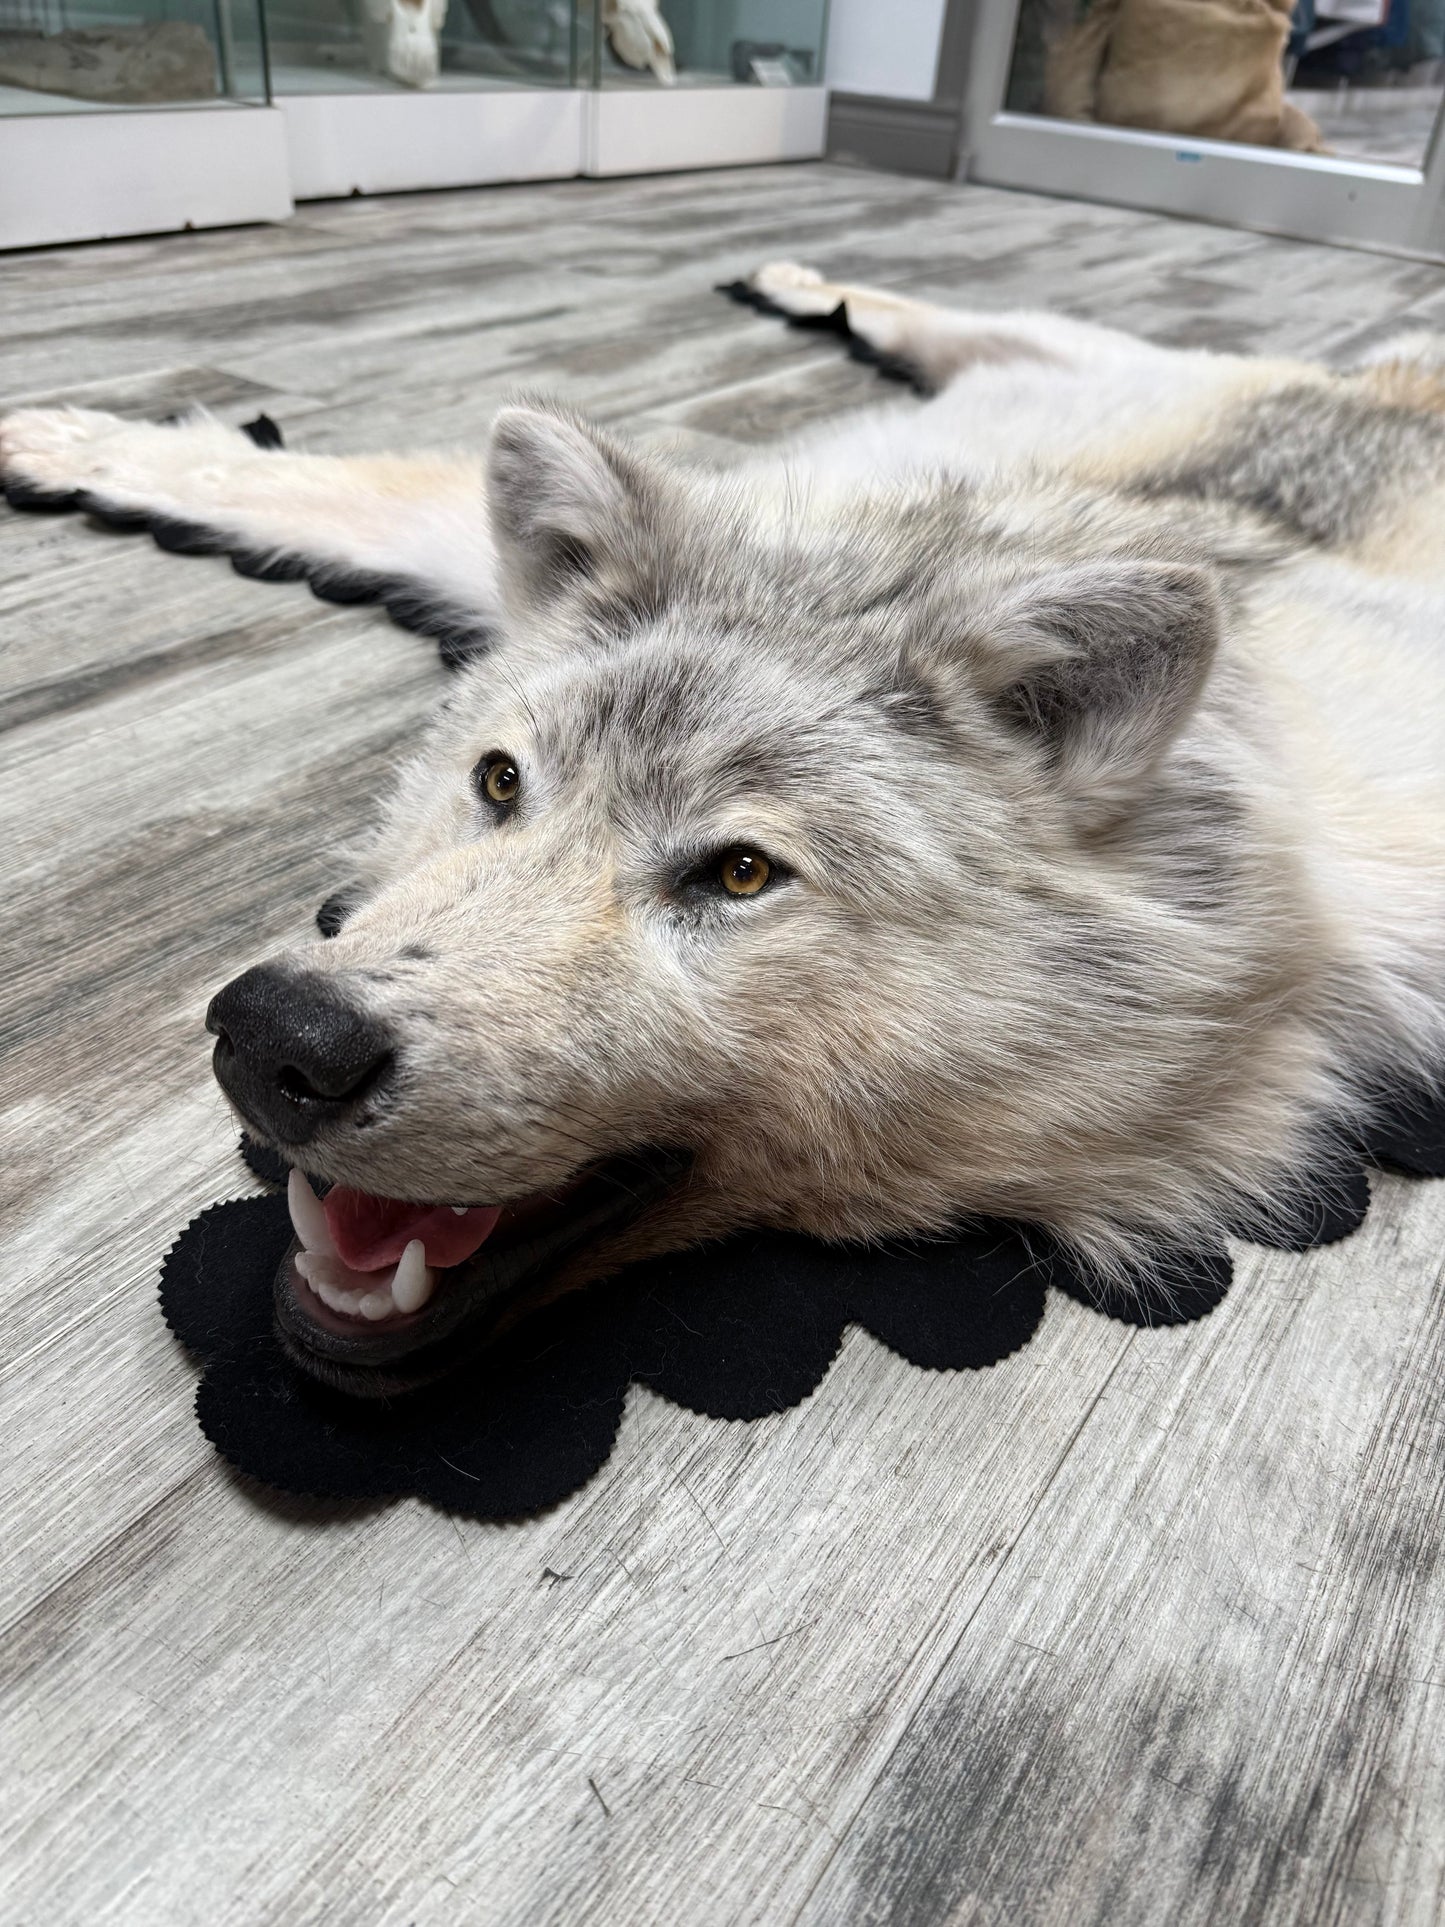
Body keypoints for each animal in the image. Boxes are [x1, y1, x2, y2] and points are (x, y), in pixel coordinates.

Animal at [4, 262, 1444, 1394]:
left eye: (740, 872)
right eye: (498, 783)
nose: (276, 1040)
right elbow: (301, 475)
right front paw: (72, 441)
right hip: (1067, 362)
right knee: (945, 316)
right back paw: (801, 280)